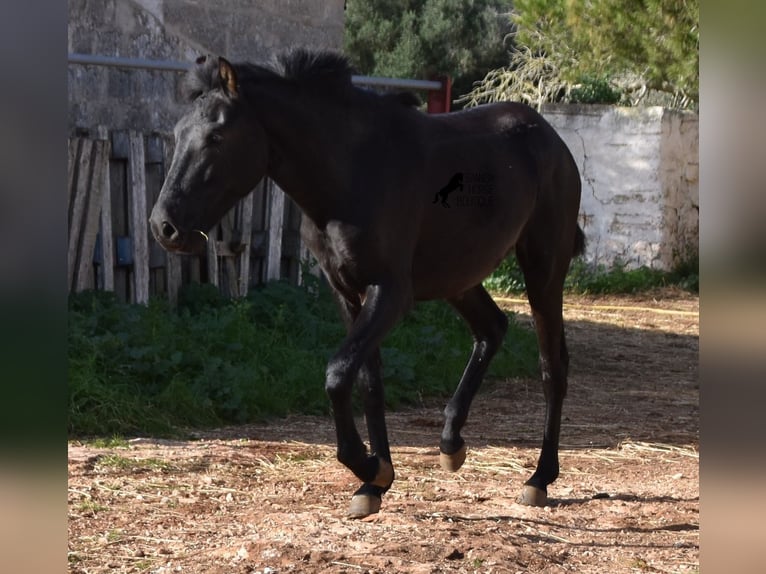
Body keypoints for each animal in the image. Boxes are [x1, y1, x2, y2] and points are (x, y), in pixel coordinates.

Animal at [150, 49, 584, 520]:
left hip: (543, 269)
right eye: (178, 133)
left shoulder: (391, 292)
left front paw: (368, 465)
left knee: (552, 365)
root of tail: (551, 139)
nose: (164, 227)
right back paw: (451, 444)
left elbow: (338, 373)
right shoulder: (347, 292)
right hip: (457, 276)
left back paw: (539, 479)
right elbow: (369, 382)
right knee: (492, 328)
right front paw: (375, 483)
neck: (351, 173)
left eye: (217, 136)